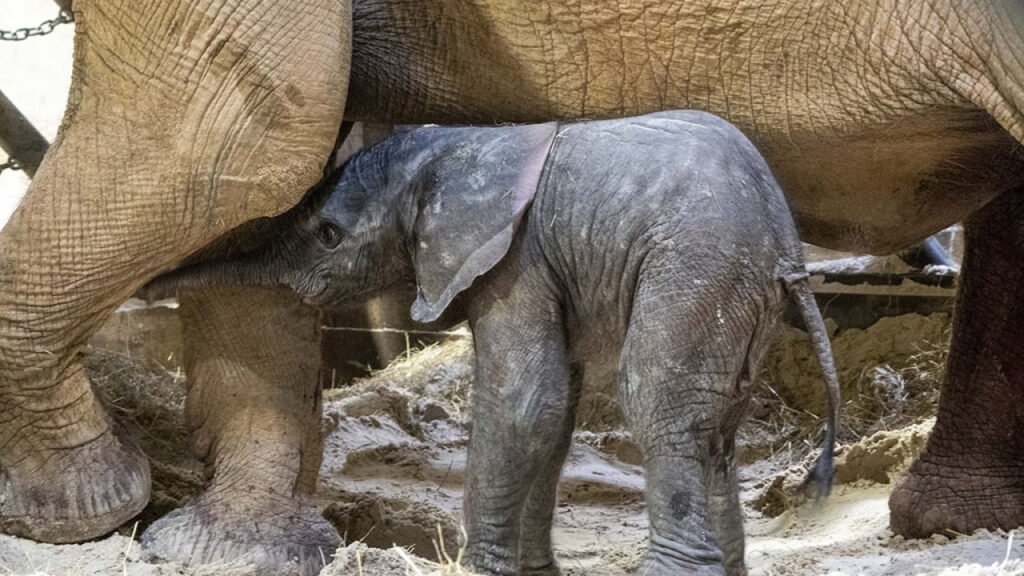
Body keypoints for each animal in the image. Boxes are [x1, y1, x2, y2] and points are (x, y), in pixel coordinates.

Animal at [142, 111, 842, 576]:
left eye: (330, 235)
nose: (149, 283)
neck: (458, 144)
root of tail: (787, 245)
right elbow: (554, 412)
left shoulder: (515, 260)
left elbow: (526, 402)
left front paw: (477, 568)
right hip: (740, 294)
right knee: (717, 431)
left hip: (699, 269)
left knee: (661, 409)